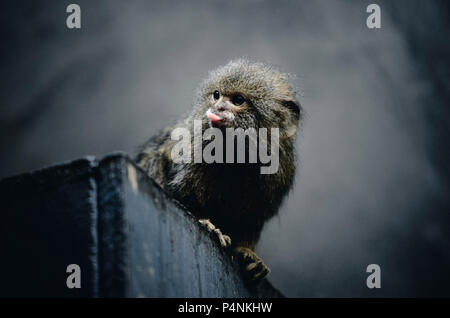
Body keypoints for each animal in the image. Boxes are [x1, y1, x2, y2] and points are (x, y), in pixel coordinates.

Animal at [135, 58, 300, 282]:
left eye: (238, 100)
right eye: (217, 95)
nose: (218, 107)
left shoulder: (280, 171)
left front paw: (248, 252)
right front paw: (207, 223)